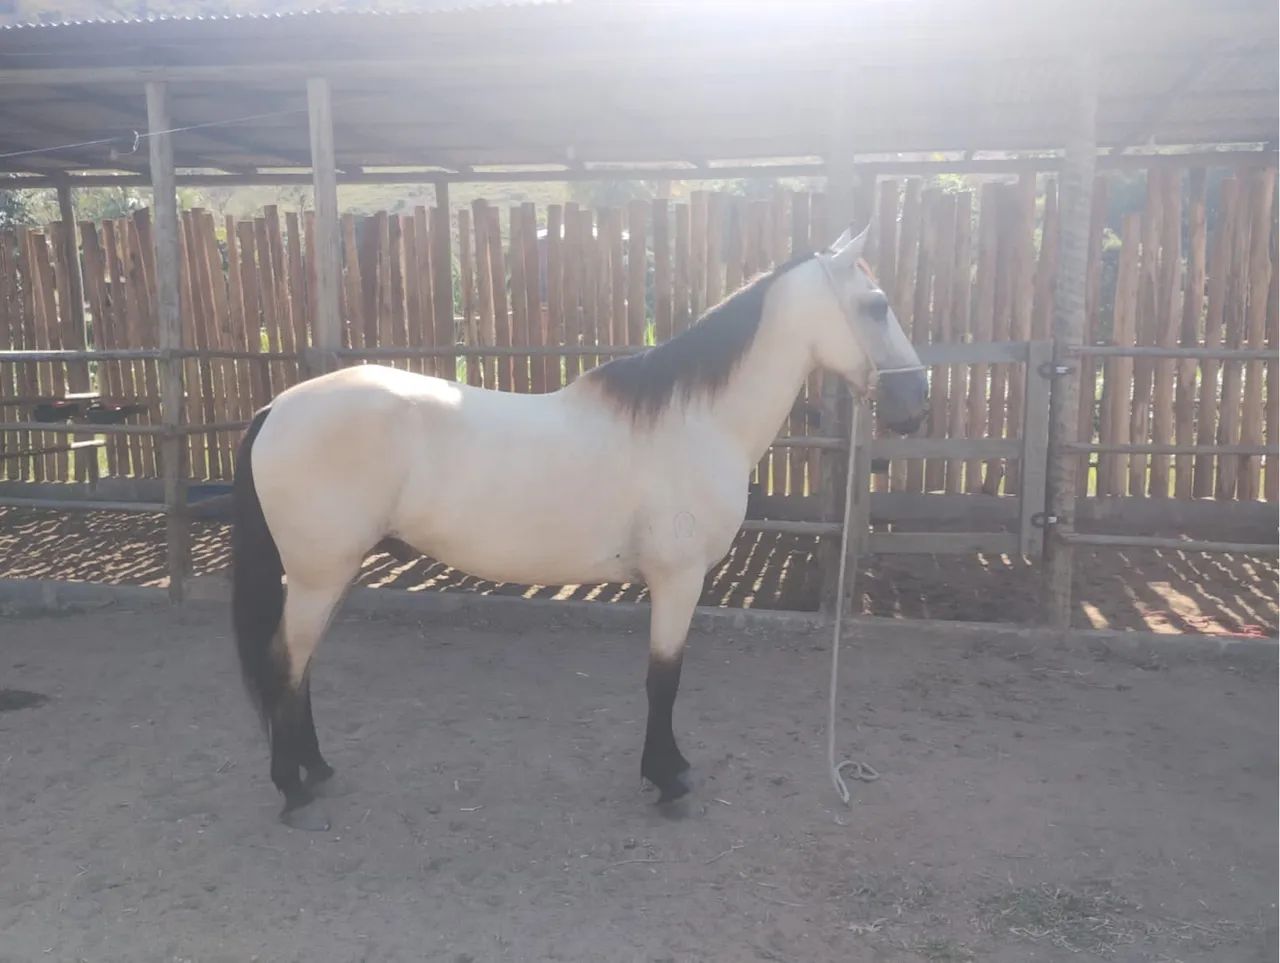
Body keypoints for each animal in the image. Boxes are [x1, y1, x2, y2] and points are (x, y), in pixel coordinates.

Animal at [230, 224, 927, 829]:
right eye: (876, 305)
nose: (915, 401)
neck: (696, 422)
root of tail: (276, 408)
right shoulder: (678, 580)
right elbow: (663, 678)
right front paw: (668, 778)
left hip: (332, 573)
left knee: (301, 664)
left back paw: (316, 769)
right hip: (319, 575)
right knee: (285, 662)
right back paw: (293, 791)